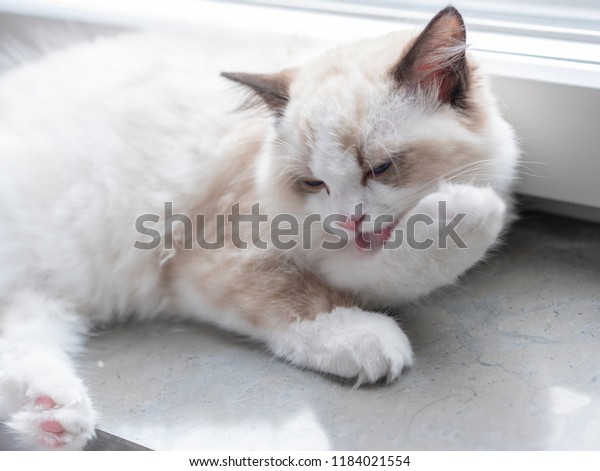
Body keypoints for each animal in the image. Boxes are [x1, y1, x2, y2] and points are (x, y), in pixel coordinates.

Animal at [0, 6, 516, 450]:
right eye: (314, 182)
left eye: (380, 168)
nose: (347, 218)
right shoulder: (203, 261)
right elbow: (299, 293)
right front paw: (366, 334)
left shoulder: (340, 253)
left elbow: (388, 268)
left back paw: (50, 416)